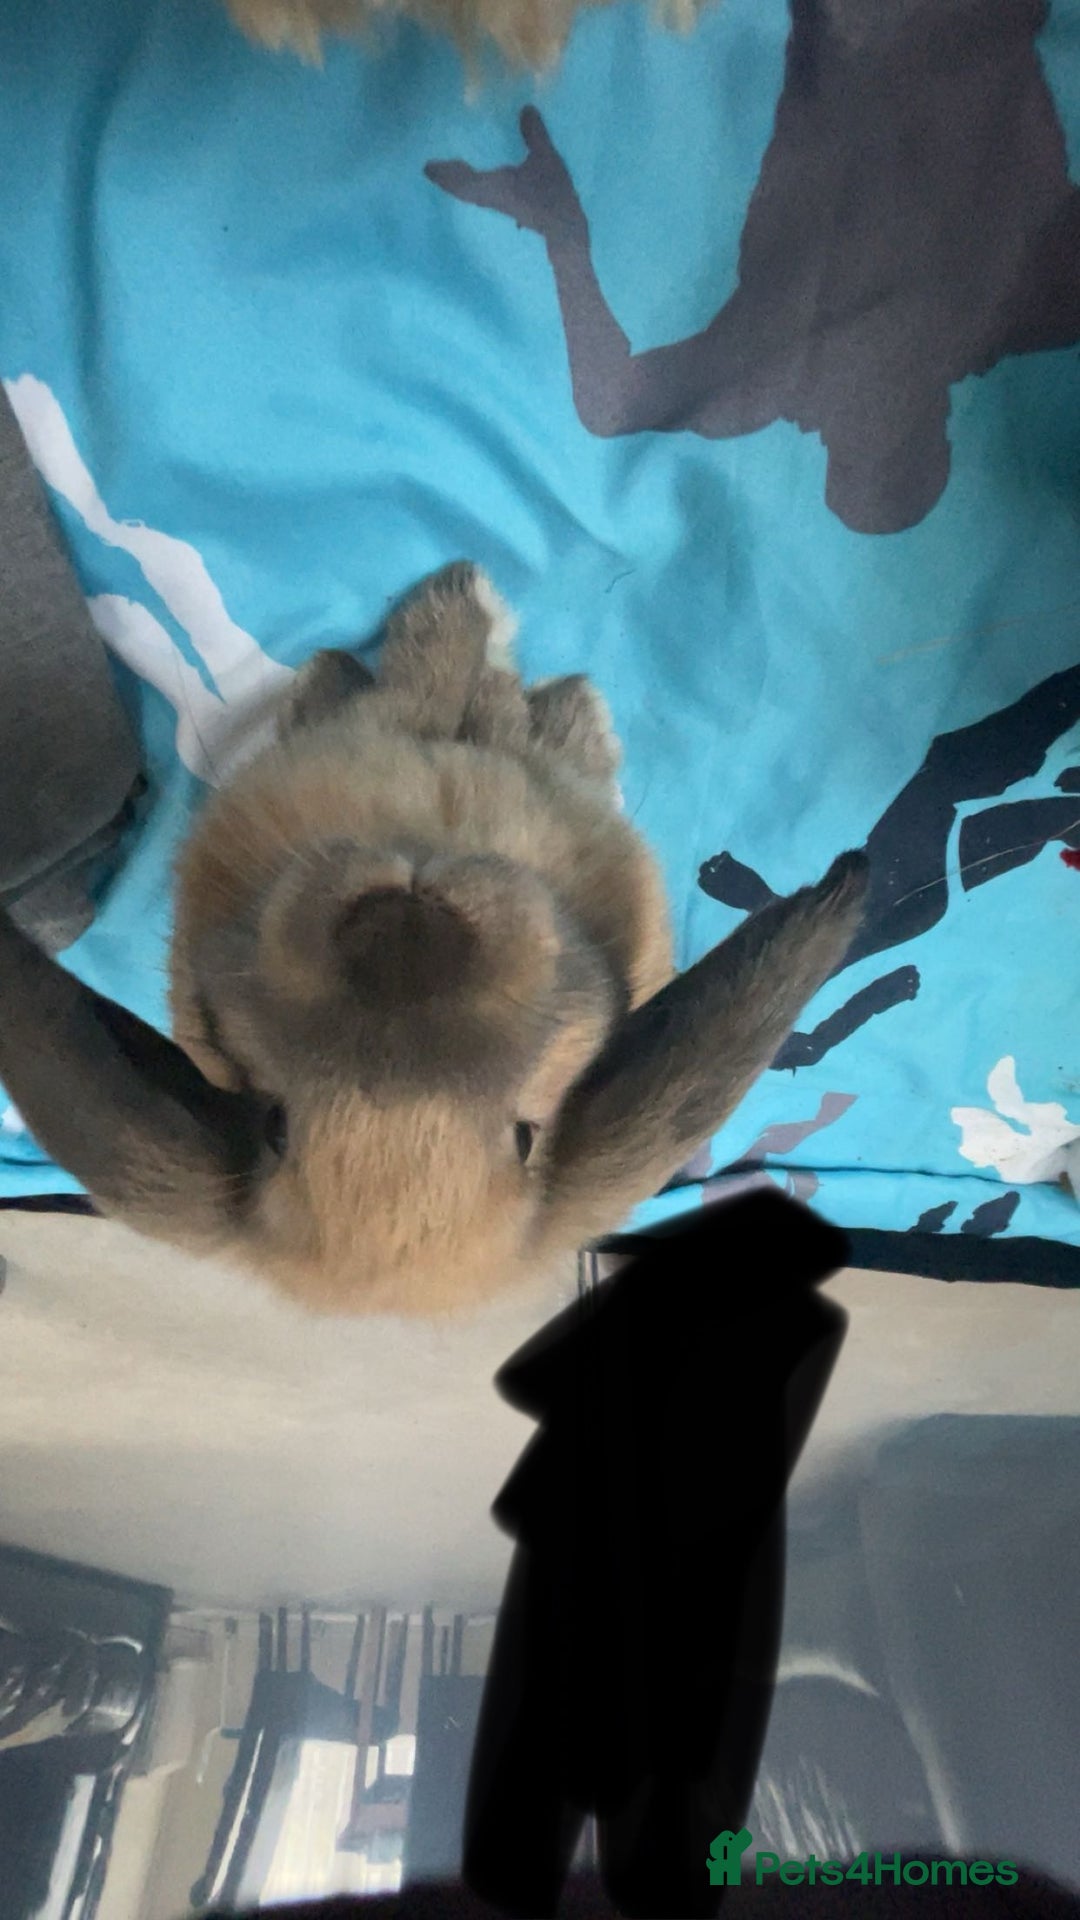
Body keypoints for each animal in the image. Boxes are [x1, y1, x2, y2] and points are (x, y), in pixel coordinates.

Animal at [0, 562, 868, 1316]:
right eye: (276, 1122)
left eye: (526, 1138)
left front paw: (467, 619)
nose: (404, 933)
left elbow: (450, 702)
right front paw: (464, 610)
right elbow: (437, 693)